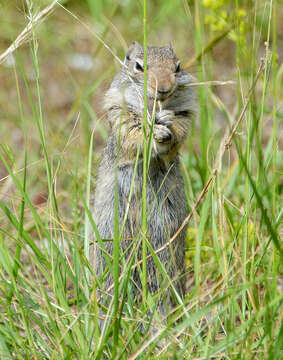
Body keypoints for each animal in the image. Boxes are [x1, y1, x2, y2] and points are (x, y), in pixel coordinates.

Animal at [93, 40, 195, 316]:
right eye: (139, 66)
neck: (153, 107)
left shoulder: (186, 111)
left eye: (178, 66)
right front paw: (154, 131)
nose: (164, 87)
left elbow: (179, 130)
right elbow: (133, 131)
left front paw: (167, 125)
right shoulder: (119, 109)